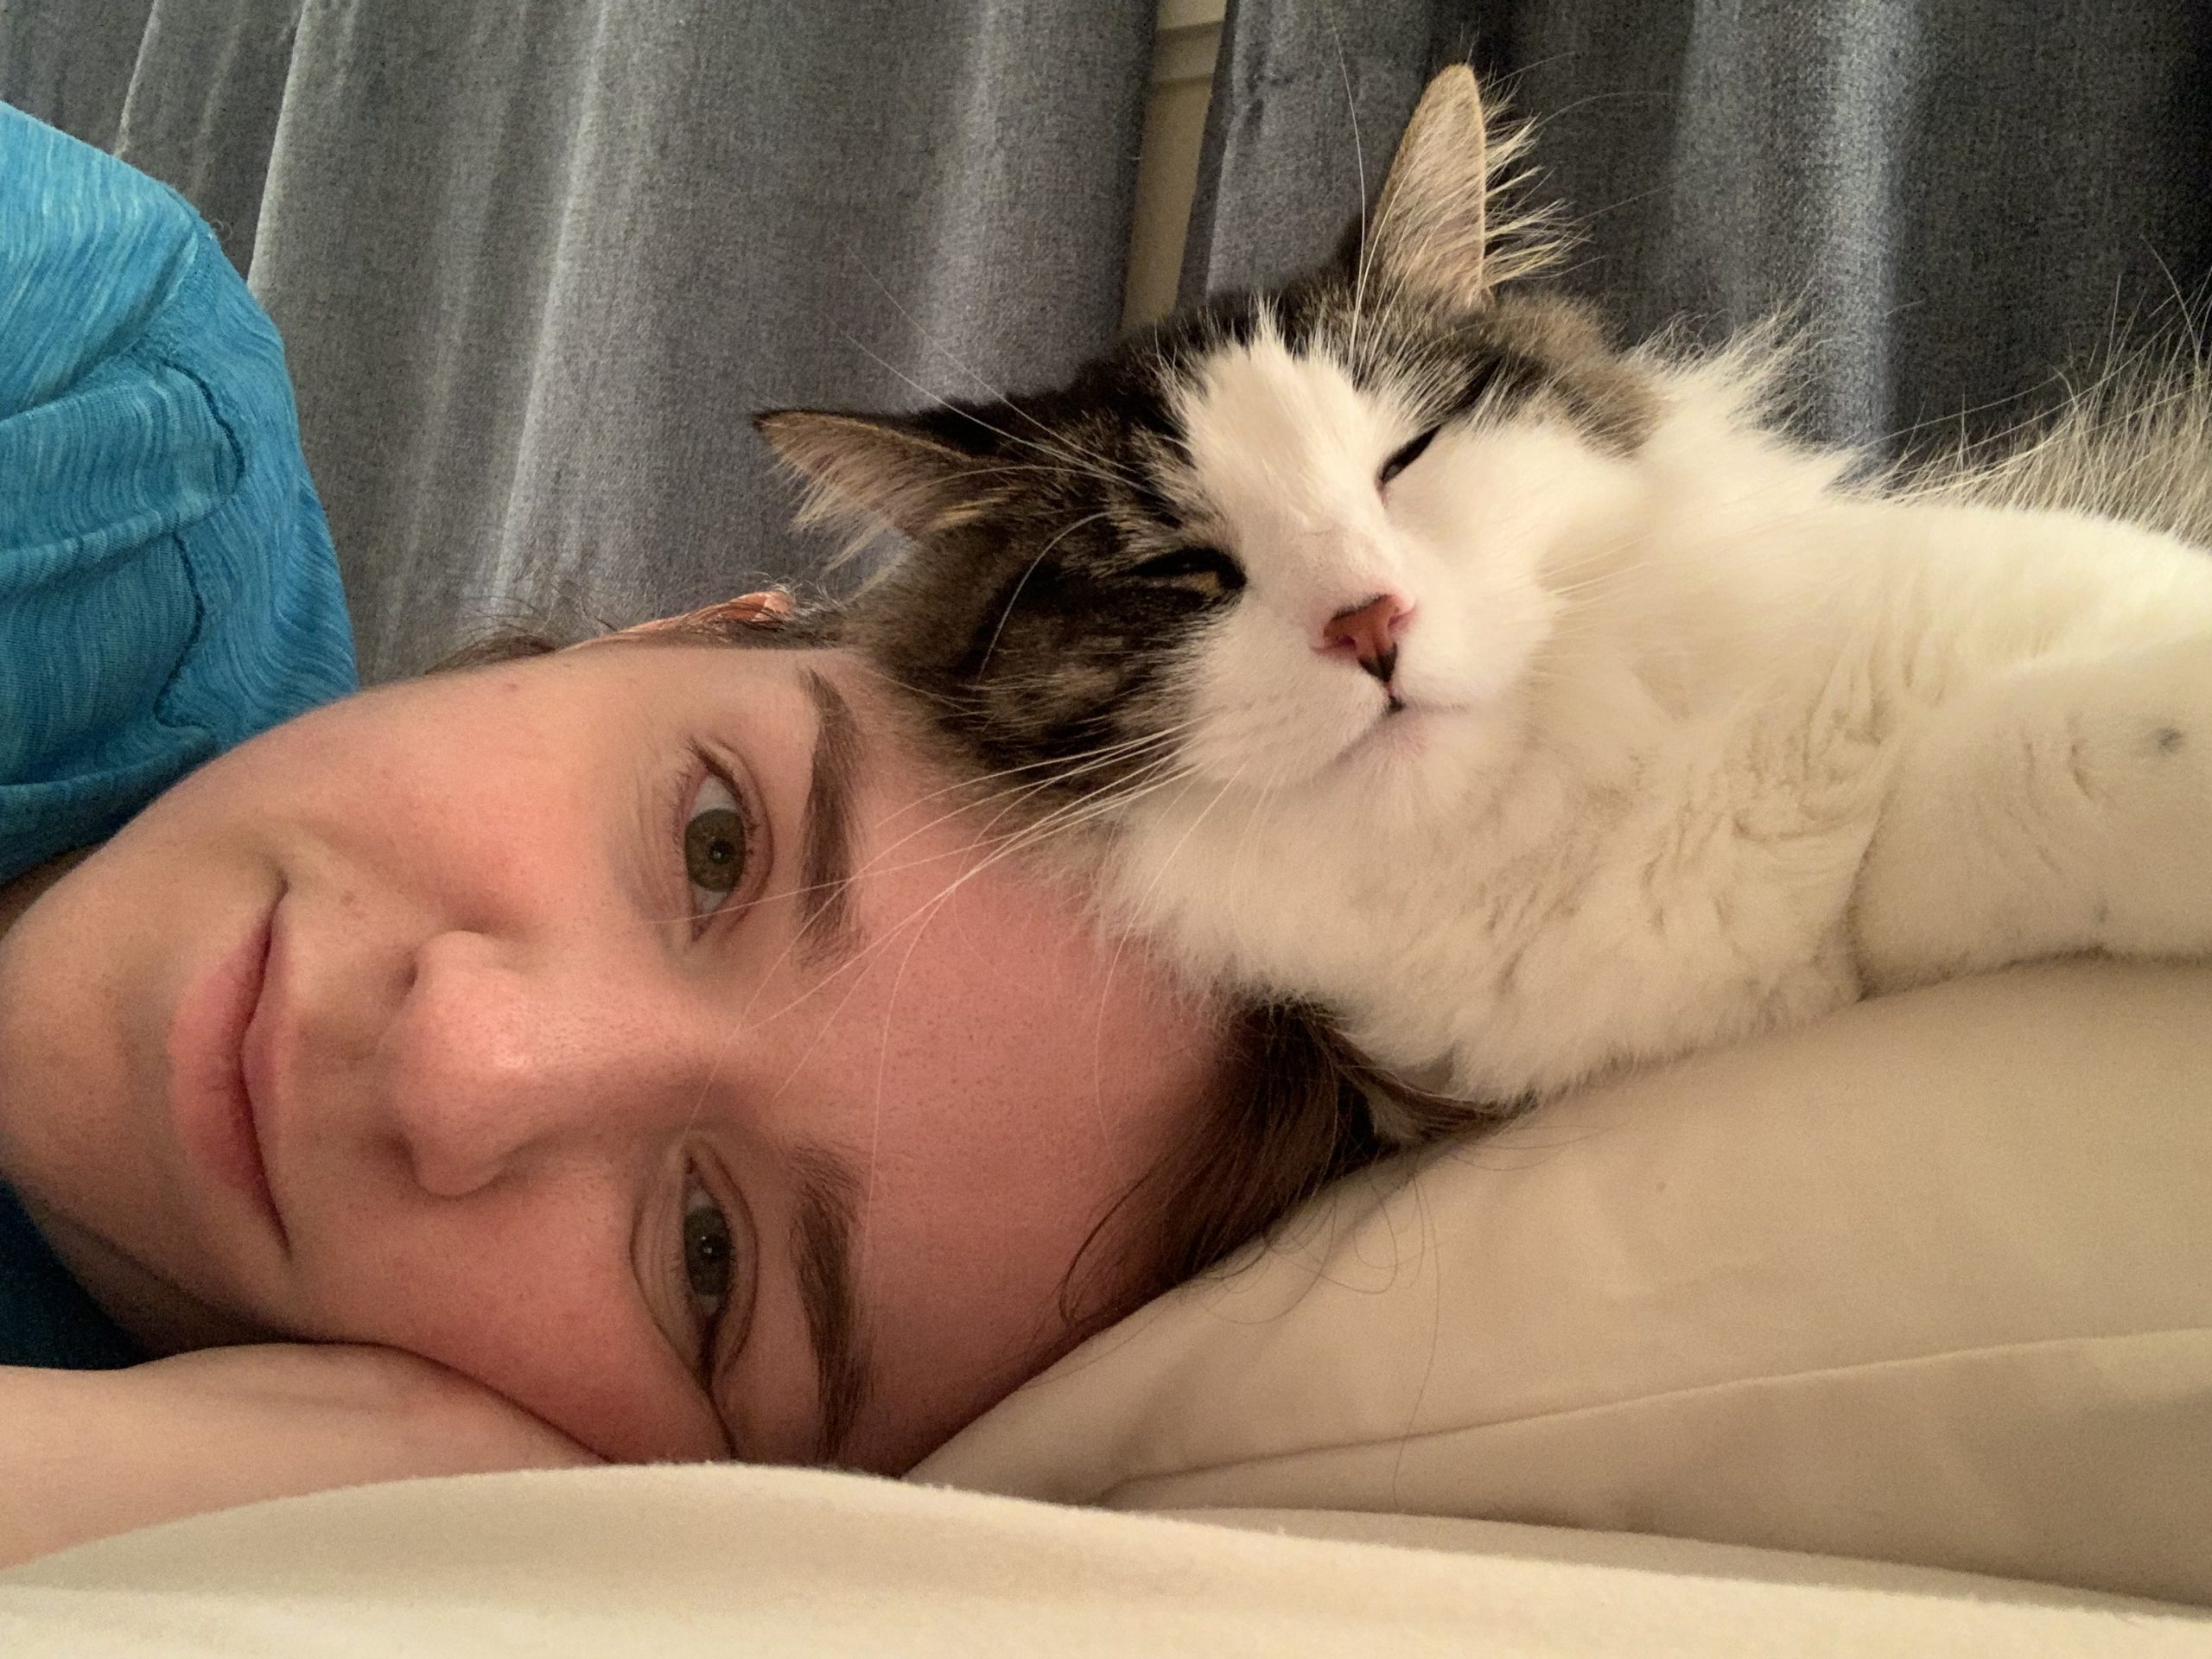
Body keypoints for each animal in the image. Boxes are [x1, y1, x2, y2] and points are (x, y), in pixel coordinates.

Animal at [756, 65, 2212, 1138]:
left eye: (1407, 457)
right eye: (1186, 571)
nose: (1369, 624)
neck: (1575, 819)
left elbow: (2067, 739)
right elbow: (2029, 785)